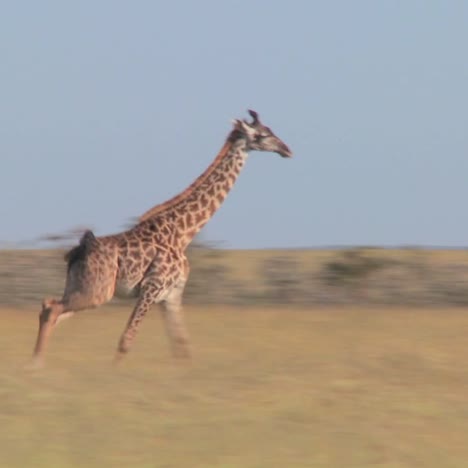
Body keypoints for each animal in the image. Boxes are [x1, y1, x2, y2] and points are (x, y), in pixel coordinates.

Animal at [29, 109, 290, 366]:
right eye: (263, 135)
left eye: (270, 130)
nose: (286, 149)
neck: (183, 232)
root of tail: (78, 252)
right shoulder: (151, 287)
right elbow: (127, 339)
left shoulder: (171, 294)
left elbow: (182, 346)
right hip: (97, 292)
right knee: (52, 309)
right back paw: (36, 364)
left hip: (82, 288)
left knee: (50, 308)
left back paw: (36, 363)